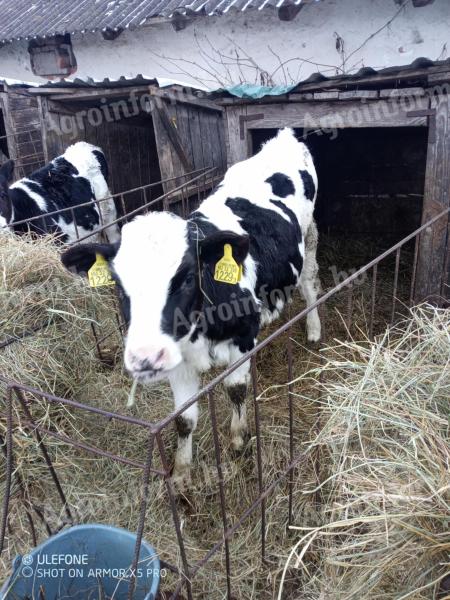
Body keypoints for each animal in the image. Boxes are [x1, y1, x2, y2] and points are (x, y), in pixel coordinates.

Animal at [61, 129, 322, 490]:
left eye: (186, 277)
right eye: (117, 282)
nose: (145, 357)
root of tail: (283, 138)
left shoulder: (242, 339)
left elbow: (236, 390)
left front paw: (238, 439)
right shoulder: (178, 361)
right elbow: (184, 418)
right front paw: (182, 471)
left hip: (309, 235)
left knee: (310, 284)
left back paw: (313, 329)